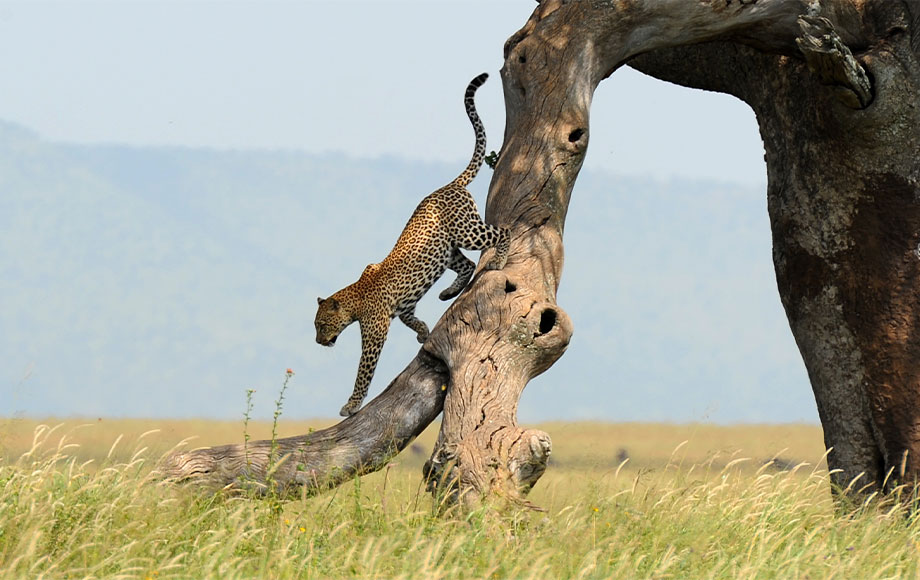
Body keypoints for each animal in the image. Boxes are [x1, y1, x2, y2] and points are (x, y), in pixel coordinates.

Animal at [316, 73, 510, 416]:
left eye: (323, 323)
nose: (317, 341)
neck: (354, 299)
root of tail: (448, 185)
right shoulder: (404, 307)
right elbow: (412, 319)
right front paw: (423, 333)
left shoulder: (375, 333)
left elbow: (363, 372)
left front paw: (351, 405)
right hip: (444, 250)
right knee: (467, 265)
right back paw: (447, 293)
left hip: (468, 231)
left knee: (503, 232)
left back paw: (499, 259)